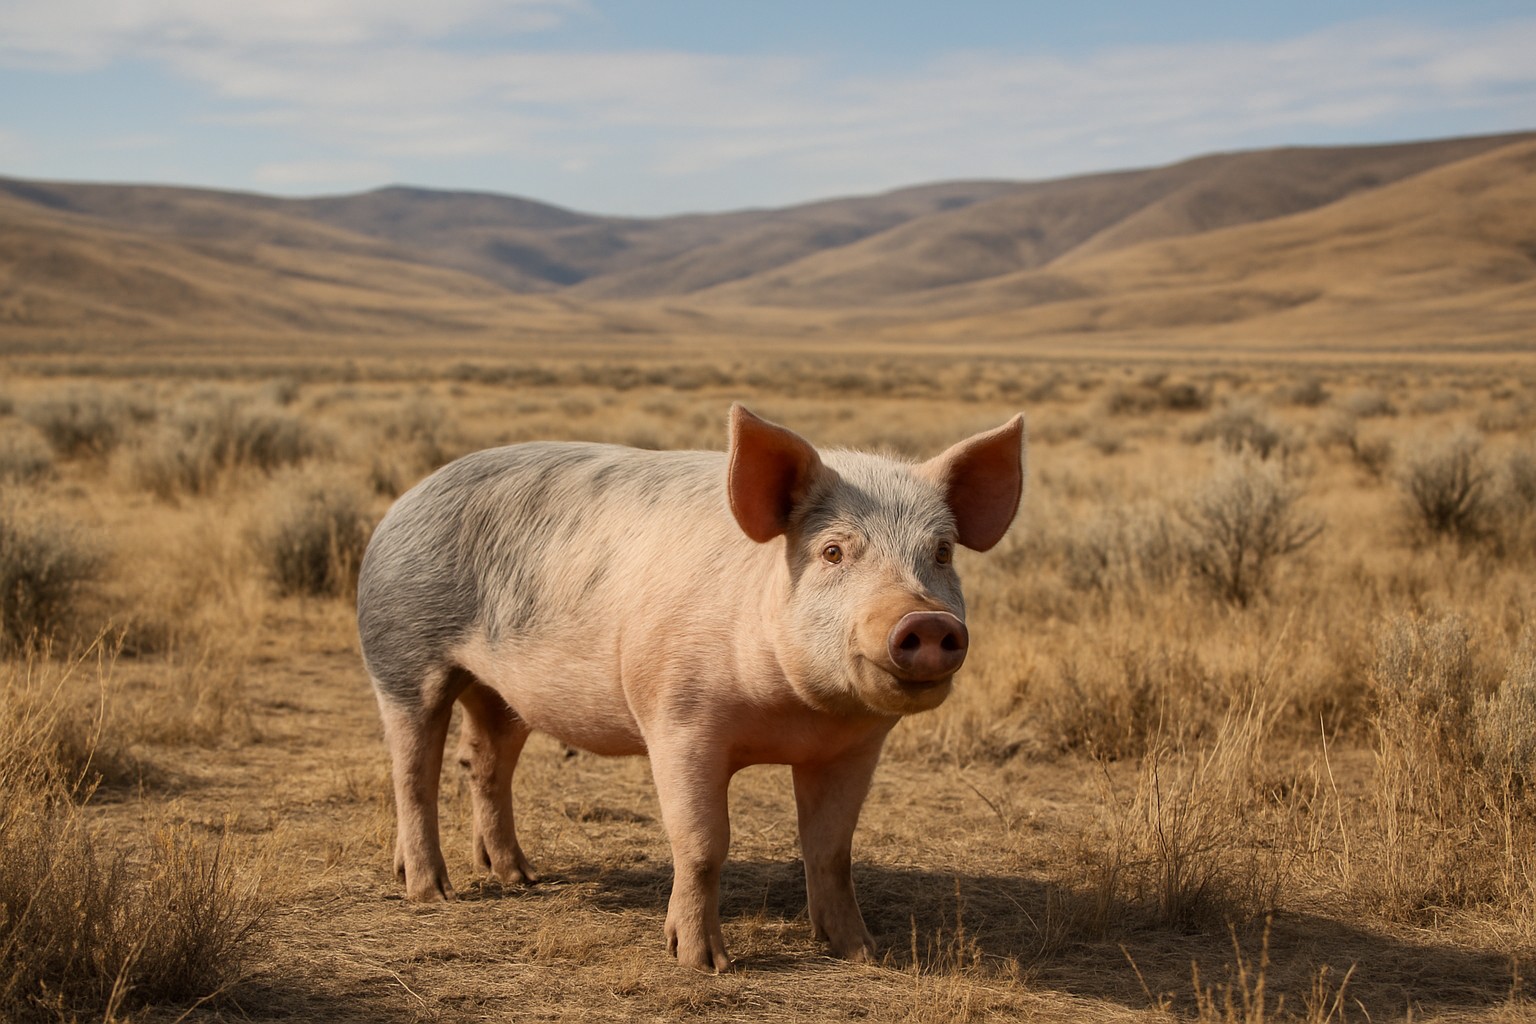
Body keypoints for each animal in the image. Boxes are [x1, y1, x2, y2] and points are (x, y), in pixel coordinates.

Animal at [356, 405, 1024, 972]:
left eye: (941, 552)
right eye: (833, 551)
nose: (926, 621)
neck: (795, 714)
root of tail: (403, 502)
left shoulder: (853, 747)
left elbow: (832, 848)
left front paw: (861, 952)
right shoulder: (679, 721)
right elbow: (702, 843)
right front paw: (703, 963)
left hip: (501, 691)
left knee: (485, 761)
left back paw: (520, 877)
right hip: (400, 655)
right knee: (413, 772)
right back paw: (432, 893)